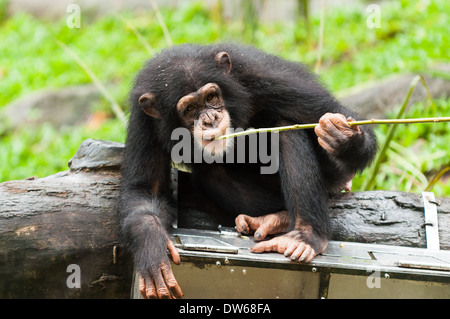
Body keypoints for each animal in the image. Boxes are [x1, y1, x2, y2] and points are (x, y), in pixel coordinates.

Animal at [118, 43, 378, 300]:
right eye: (190, 108)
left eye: (211, 97)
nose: (211, 118)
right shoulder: (144, 119)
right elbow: (144, 191)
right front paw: (151, 246)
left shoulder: (267, 78)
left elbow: (335, 113)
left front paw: (343, 136)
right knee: (212, 173)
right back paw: (274, 219)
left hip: (332, 174)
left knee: (285, 130)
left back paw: (305, 234)